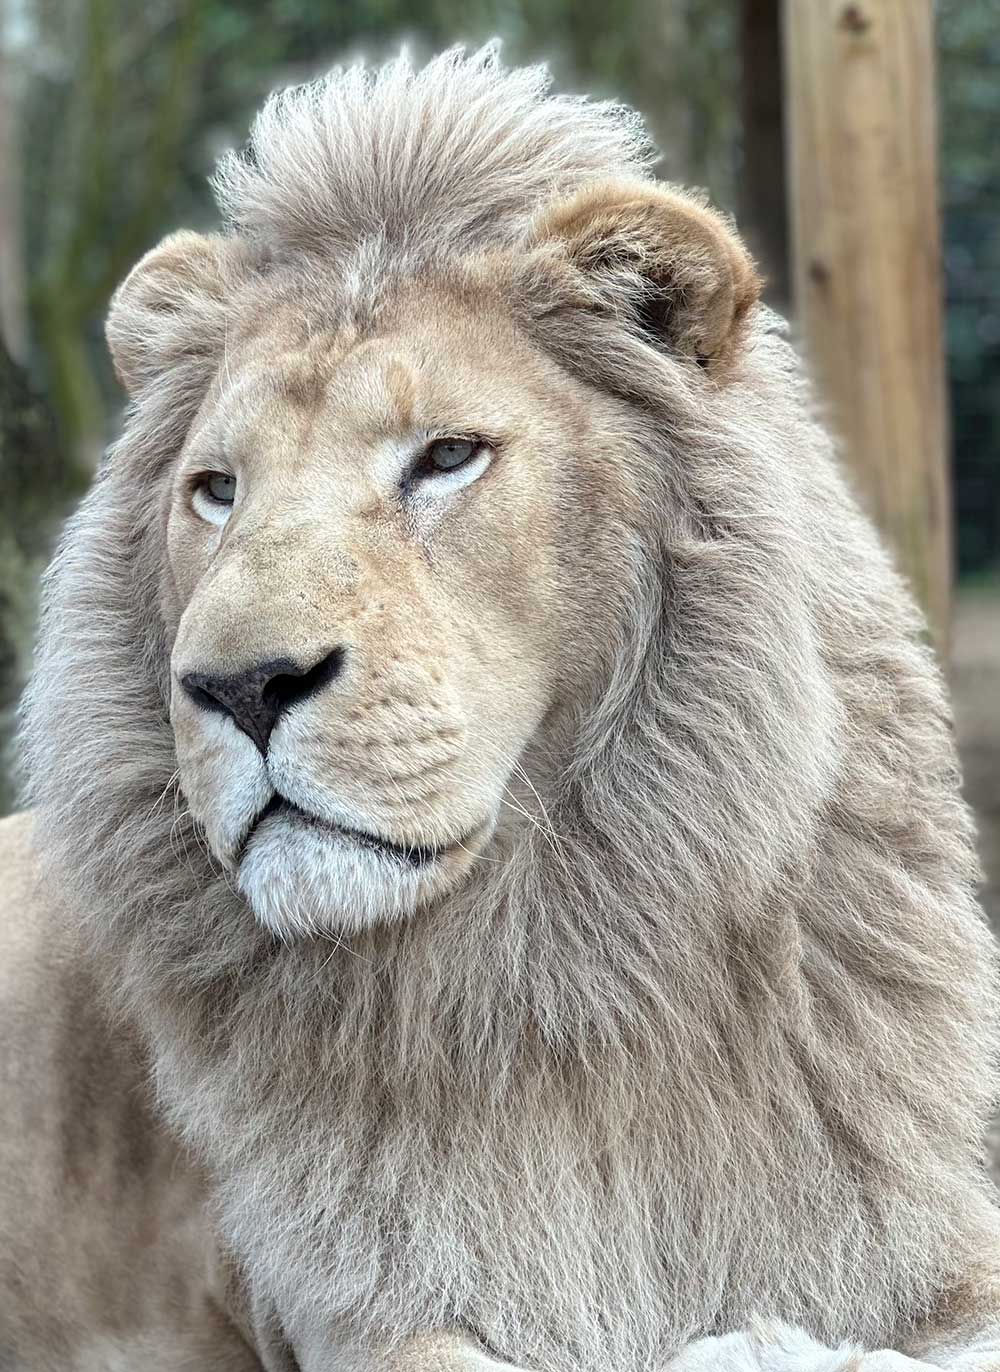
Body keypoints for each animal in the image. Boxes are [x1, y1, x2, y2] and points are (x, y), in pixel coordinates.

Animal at [5, 42, 998, 1372]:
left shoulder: (921, 1238)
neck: (558, 964)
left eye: (445, 457)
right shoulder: (361, 1310)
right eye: (216, 490)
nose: (239, 685)